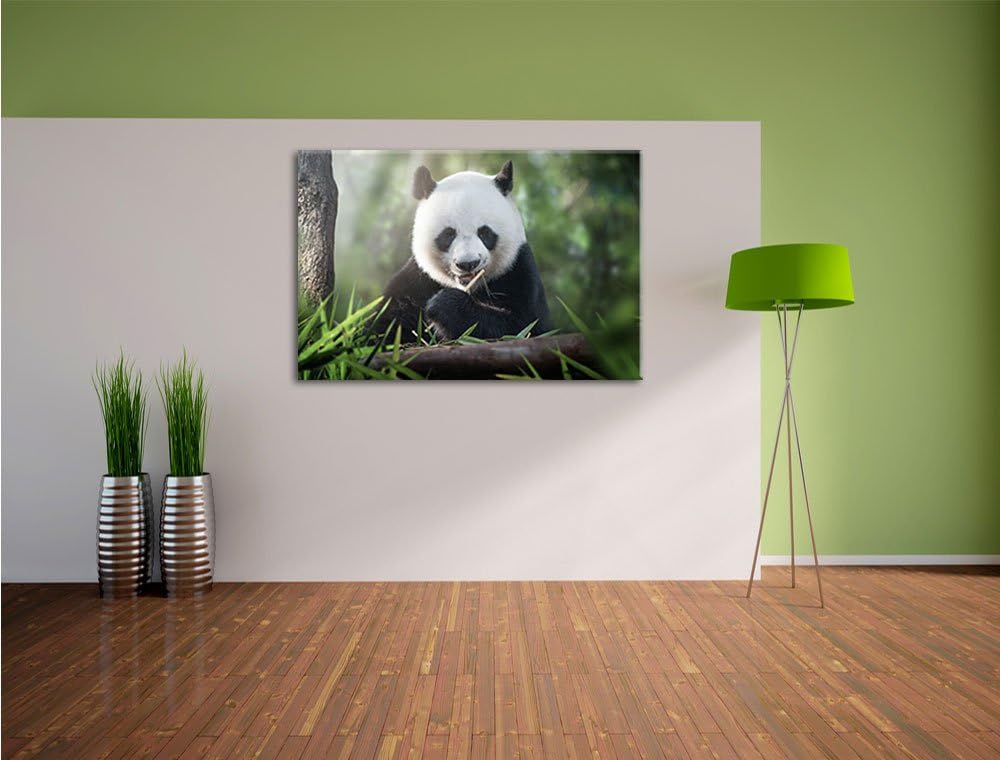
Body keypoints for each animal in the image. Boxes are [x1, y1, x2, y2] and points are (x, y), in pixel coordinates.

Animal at [374, 160, 552, 342]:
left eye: (485, 232)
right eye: (448, 234)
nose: (468, 264)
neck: (469, 288)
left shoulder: (518, 272)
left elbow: (522, 327)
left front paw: (444, 305)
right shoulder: (417, 281)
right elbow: (386, 323)